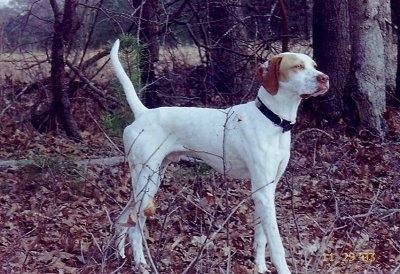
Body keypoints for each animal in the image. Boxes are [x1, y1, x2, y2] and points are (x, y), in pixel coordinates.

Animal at [108, 39, 328, 274]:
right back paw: (140, 263)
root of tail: (143, 113)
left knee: (122, 218)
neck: (272, 120)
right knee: (135, 227)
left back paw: (119, 255)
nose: (325, 78)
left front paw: (259, 267)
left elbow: (261, 236)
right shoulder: (262, 191)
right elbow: (276, 244)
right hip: (146, 182)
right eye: (298, 67)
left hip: (150, 180)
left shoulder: (266, 189)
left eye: (314, 65)